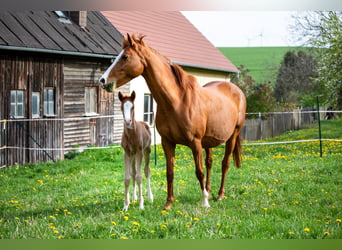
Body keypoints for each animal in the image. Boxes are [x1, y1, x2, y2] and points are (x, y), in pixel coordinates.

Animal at [99, 34, 246, 210]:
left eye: (125, 57)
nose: (102, 80)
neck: (177, 101)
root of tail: (237, 90)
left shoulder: (195, 143)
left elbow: (199, 171)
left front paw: (204, 202)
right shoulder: (167, 142)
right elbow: (170, 172)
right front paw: (168, 203)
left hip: (232, 136)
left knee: (224, 164)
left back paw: (219, 195)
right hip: (209, 142)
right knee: (209, 163)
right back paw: (209, 190)